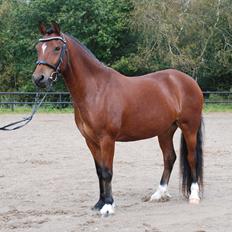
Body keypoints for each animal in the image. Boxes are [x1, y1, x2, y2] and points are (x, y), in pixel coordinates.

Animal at [32, 23, 203, 216]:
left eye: (56, 48)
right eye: (38, 48)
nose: (39, 78)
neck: (96, 90)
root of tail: (188, 81)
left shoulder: (107, 139)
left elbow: (107, 172)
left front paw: (107, 206)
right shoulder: (91, 140)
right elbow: (99, 171)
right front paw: (99, 203)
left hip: (189, 127)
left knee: (191, 158)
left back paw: (194, 196)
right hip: (165, 131)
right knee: (169, 157)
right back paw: (159, 194)